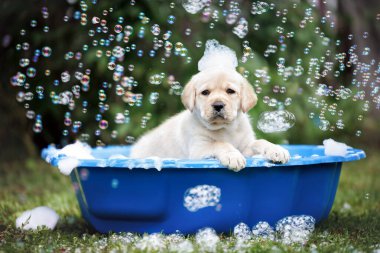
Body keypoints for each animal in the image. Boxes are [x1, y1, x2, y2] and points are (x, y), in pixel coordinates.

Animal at [129, 66, 290, 171]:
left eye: (230, 91)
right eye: (205, 92)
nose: (218, 105)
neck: (225, 129)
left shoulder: (245, 146)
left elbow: (260, 142)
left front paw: (276, 149)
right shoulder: (198, 149)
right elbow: (219, 144)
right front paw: (233, 156)